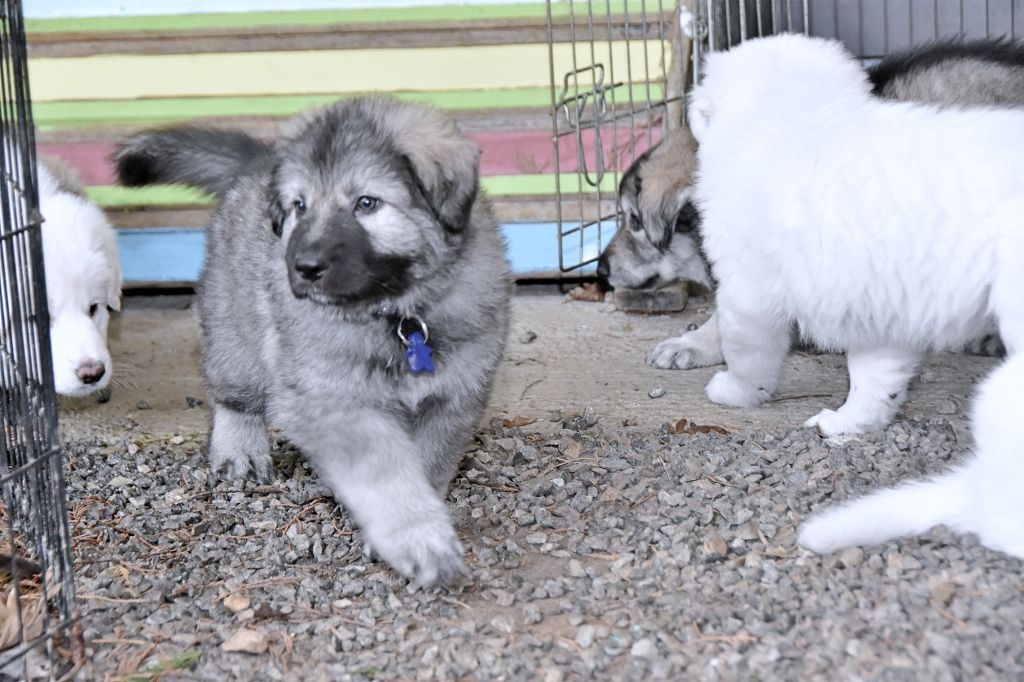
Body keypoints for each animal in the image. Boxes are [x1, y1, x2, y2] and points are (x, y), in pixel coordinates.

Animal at [116, 96, 512, 587]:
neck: (396, 315)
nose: (303, 267)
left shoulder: (452, 398)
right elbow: (386, 474)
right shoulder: (333, 401)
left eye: (366, 203)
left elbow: (425, 465)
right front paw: (416, 538)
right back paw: (240, 447)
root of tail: (258, 162)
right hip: (235, 323)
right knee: (233, 392)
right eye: (299, 207)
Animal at [687, 33, 1023, 436]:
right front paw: (848, 421)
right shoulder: (880, 303)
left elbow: (747, 352)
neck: (802, 115)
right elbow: (873, 377)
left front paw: (733, 391)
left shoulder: (748, 290)